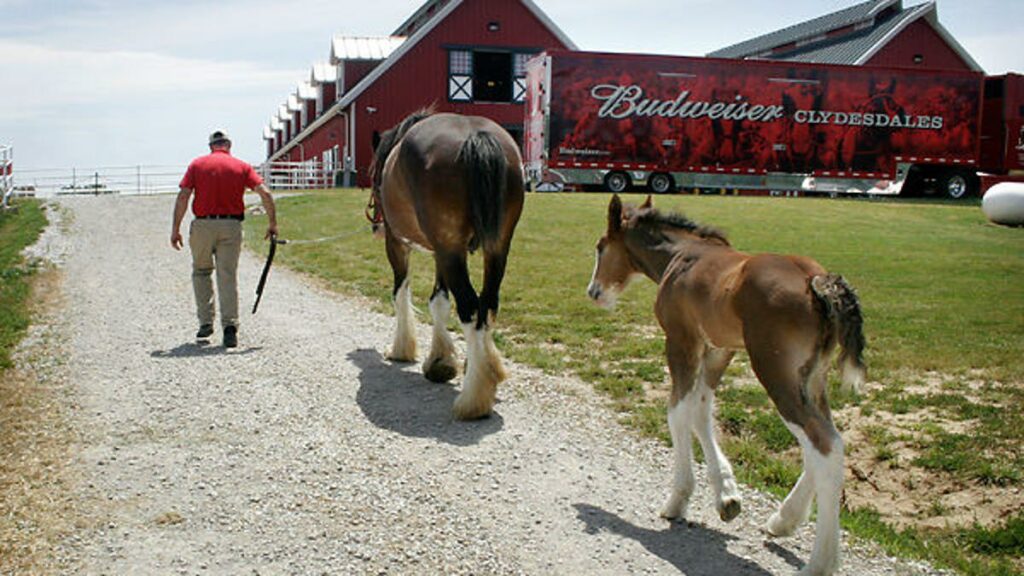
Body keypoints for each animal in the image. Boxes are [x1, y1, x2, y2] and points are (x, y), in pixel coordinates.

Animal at [370, 109, 528, 420]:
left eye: (372, 174)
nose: (376, 227)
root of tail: (475, 135)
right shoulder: (439, 254)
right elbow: (439, 301)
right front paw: (442, 360)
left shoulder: (398, 245)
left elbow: (401, 294)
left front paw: (403, 349)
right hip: (495, 247)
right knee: (487, 304)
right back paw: (484, 370)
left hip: (449, 249)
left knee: (469, 306)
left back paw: (473, 399)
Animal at [589, 193, 868, 573]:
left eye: (601, 248)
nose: (594, 292)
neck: (681, 256)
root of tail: (817, 282)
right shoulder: (720, 349)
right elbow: (701, 410)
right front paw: (727, 496)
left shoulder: (681, 340)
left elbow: (677, 412)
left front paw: (678, 500)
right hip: (812, 377)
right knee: (830, 440)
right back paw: (784, 520)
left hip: (774, 371)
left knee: (824, 445)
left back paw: (820, 562)